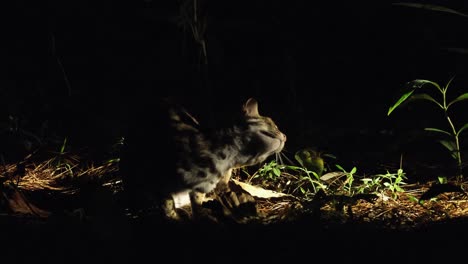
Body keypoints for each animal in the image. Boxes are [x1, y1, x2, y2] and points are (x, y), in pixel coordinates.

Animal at [119, 97, 286, 221]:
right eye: (275, 125)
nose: (285, 136)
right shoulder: (157, 178)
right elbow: (167, 204)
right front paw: (175, 218)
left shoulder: (201, 186)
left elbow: (197, 201)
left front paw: (201, 213)